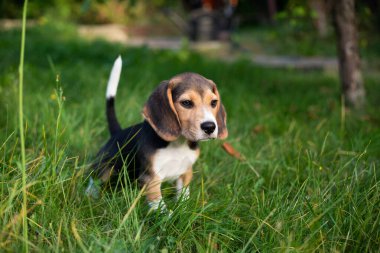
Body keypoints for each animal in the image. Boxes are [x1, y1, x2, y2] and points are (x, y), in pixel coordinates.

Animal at [85, 56, 227, 211]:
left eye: (214, 102)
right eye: (186, 103)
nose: (210, 127)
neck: (178, 143)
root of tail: (117, 132)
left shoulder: (185, 172)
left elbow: (183, 194)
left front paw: (183, 209)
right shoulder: (151, 178)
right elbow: (159, 204)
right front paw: (168, 215)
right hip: (106, 166)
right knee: (95, 178)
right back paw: (90, 193)